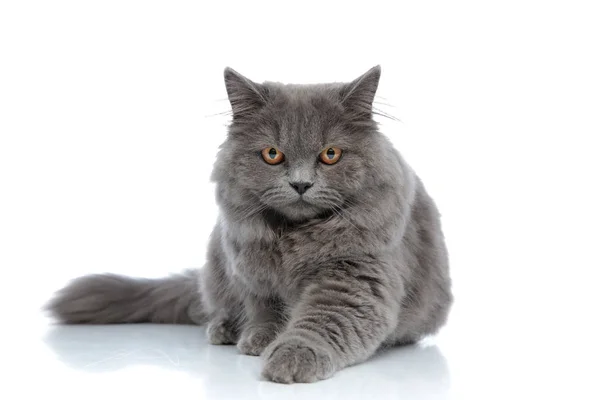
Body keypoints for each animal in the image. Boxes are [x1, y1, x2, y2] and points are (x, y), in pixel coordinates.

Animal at [45, 66, 450, 384]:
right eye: (272, 154)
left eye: (330, 154)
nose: (301, 184)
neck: (292, 237)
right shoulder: (250, 270)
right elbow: (263, 310)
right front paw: (259, 338)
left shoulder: (357, 277)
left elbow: (324, 322)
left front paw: (292, 356)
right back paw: (224, 328)